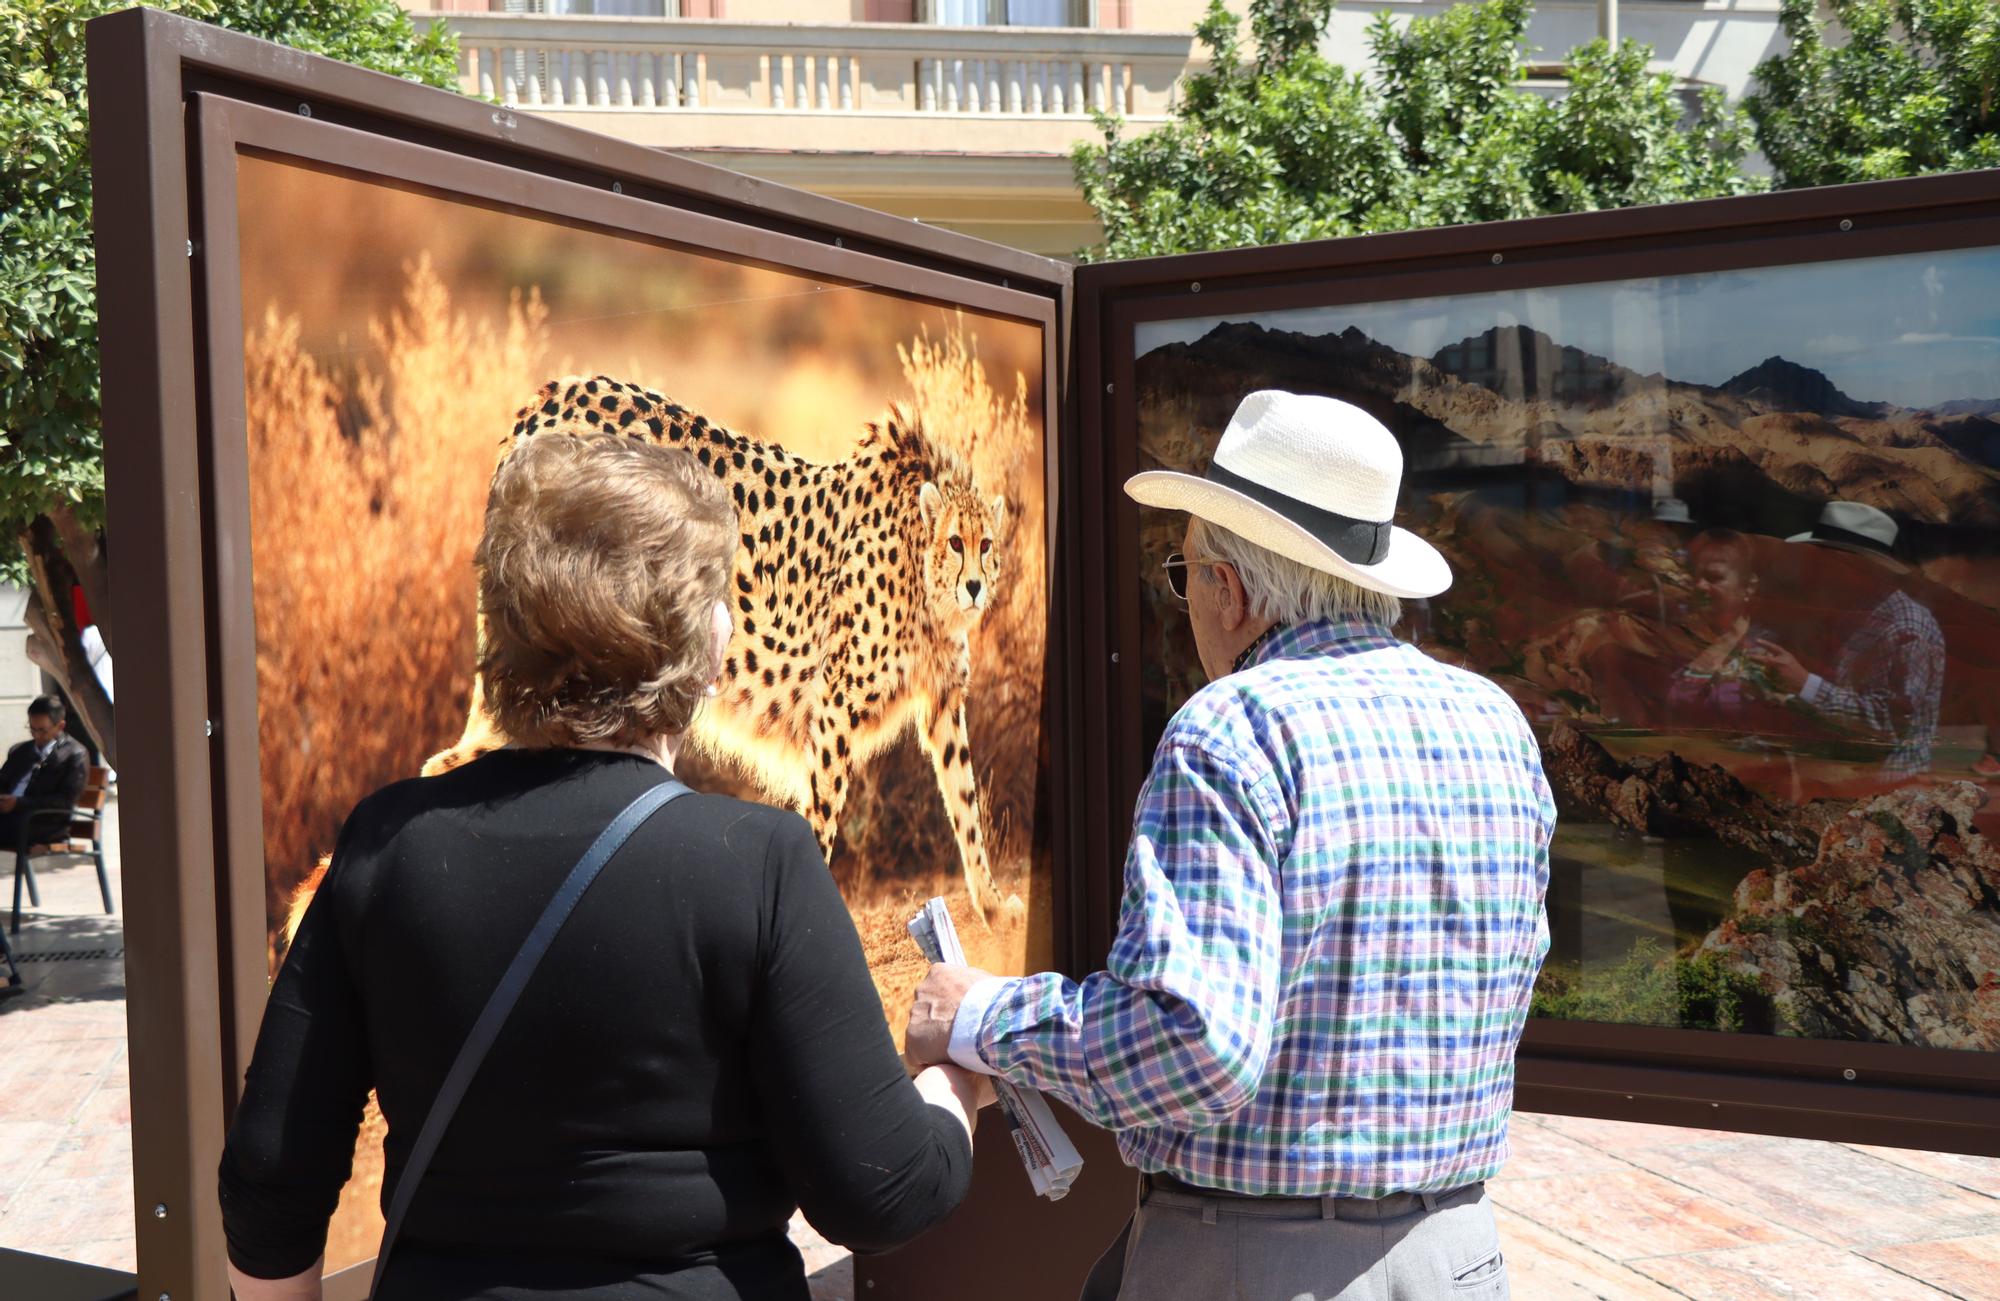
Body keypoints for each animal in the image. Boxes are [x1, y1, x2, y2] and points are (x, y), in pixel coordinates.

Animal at [422, 372, 1016, 920]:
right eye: (955, 543)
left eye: (986, 545)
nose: (974, 586)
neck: (923, 579)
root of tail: (558, 389)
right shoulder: (835, 708)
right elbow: (824, 809)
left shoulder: (942, 703)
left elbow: (966, 802)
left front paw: (991, 905)